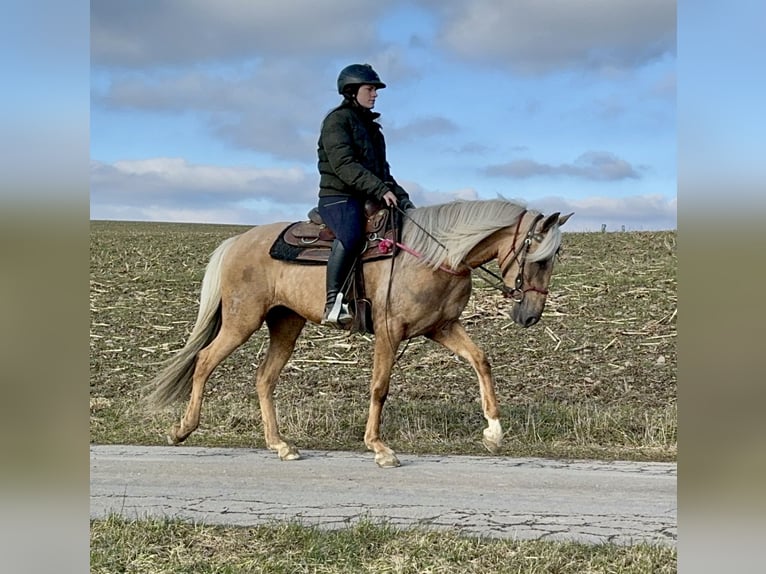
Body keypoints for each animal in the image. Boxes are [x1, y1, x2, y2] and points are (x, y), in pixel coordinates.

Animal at [147, 198, 572, 468]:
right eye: (538, 258)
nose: (530, 316)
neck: (434, 256)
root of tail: (237, 241)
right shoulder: (389, 331)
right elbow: (379, 387)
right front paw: (379, 448)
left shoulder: (441, 328)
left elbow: (480, 361)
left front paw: (494, 433)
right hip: (241, 320)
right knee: (204, 361)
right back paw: (182, 429)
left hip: (286, 323)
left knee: (264, 378)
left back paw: (280, 445)